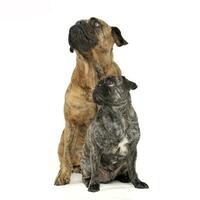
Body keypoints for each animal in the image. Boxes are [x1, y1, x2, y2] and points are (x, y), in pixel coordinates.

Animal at [54, 18, 128, 185]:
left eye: (95, 23)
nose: (78, 22)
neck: (92, 71)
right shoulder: (71, 122)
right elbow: (67, 154)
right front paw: (63, 175)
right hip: (62, 138)